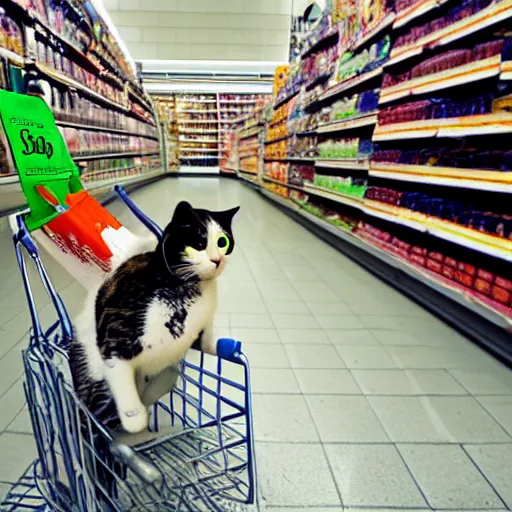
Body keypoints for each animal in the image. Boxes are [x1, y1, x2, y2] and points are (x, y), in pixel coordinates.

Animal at [68, 202, 242, 434]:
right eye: (199, 243)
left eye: (223, 242)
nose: (218, 259)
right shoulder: (115, 328)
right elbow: (118, 369)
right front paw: (134, 418)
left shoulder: (205, 324)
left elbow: (207, 341)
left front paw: (220, 347)